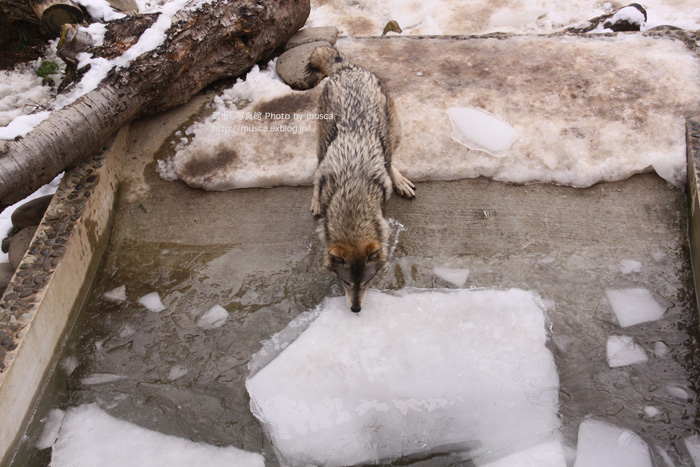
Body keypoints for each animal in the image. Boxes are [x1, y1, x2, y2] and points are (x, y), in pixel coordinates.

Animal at [308, 45, 416, 314]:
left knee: (391, 158)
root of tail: (347, 68)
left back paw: (399, 180)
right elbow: (318, 179)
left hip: (396, 130)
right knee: (317, 166)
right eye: (346, 282)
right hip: (321, 138)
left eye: (367, 281)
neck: (353, 194)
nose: (356, 310)